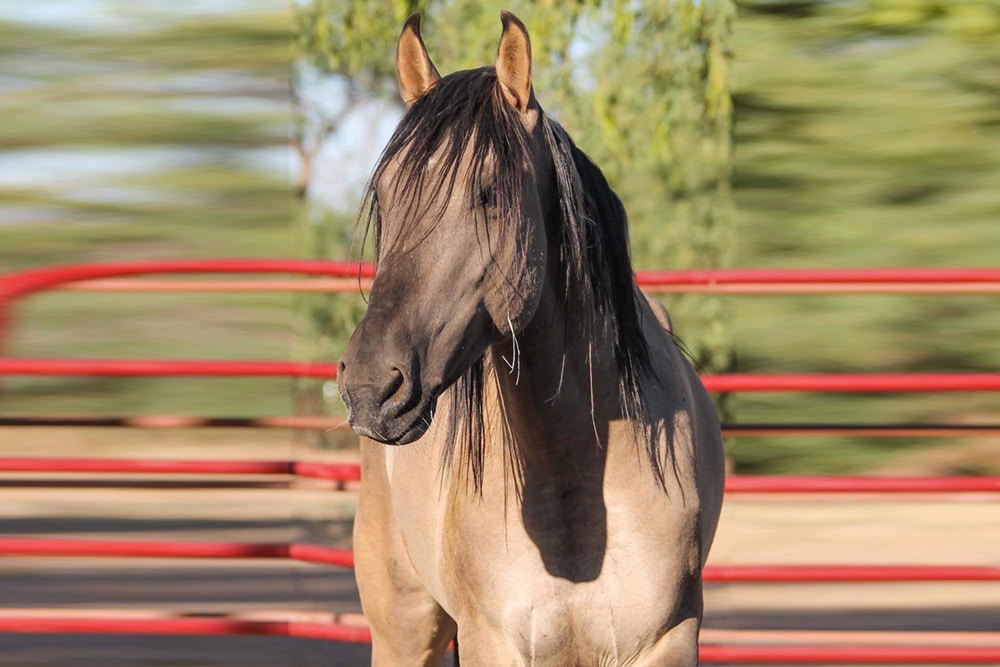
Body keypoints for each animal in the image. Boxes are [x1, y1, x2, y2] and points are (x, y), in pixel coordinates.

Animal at [340, 11, 724, 667]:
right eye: (386, 195)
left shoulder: (668, 641)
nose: (369, 387)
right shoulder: (491, 642)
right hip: (404, 628)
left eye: (489, 194)